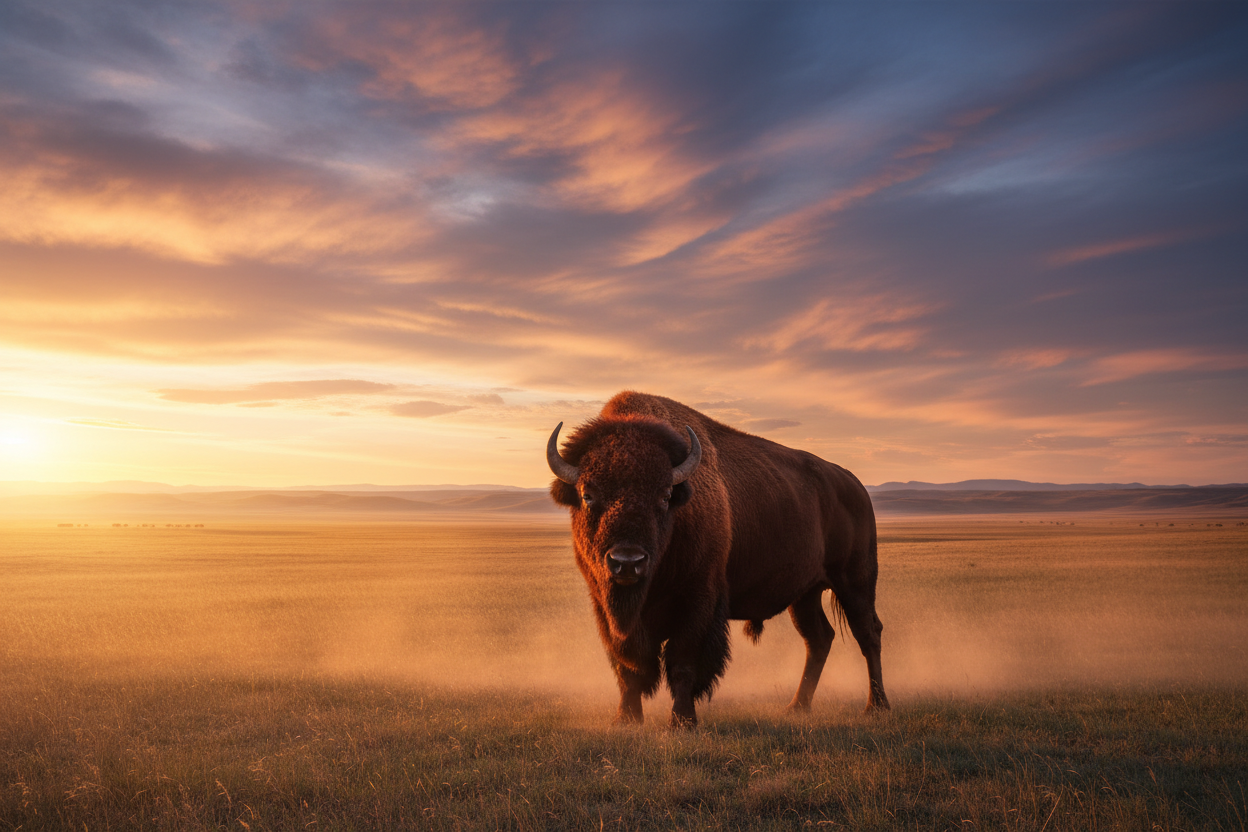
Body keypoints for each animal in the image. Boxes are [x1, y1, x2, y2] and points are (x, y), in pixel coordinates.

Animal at [548, 391, 888, 727]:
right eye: (587, 494)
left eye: (665, 496)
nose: (628, 561)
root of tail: (854, 485)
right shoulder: (606, 608)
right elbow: (627, 666)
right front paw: (627, 719)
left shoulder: (698, 601)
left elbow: (683, 663)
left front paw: (683, 721)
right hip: (805, 594)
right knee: (818, 638)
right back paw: (797, 707)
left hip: (855, 581)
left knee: (868, 633)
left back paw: (876, 706)